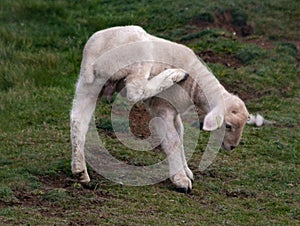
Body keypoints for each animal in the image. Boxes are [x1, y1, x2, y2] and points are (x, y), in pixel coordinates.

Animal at [69, 26, 248, 192]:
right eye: (228, 126)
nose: (233, 147)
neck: (196, 85)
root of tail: (94, 55)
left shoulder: (174, 111)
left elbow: (180, 135)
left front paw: (186, 171)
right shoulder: (163, 109)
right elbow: (173, 140)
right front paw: (181, 180)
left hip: (90, 84)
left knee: (78, 120)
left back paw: (80, 171)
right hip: (138, 58)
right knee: (135, 90)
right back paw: (174, 75)